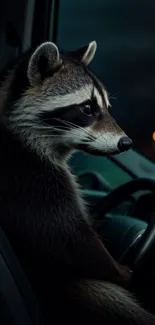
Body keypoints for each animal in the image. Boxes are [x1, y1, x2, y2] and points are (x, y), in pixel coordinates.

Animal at [0, 40, 154, 324]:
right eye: (87, 108)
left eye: (108, 108)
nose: (126, 143)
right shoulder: (29, 180)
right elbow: (69, 240)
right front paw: (124, 273)